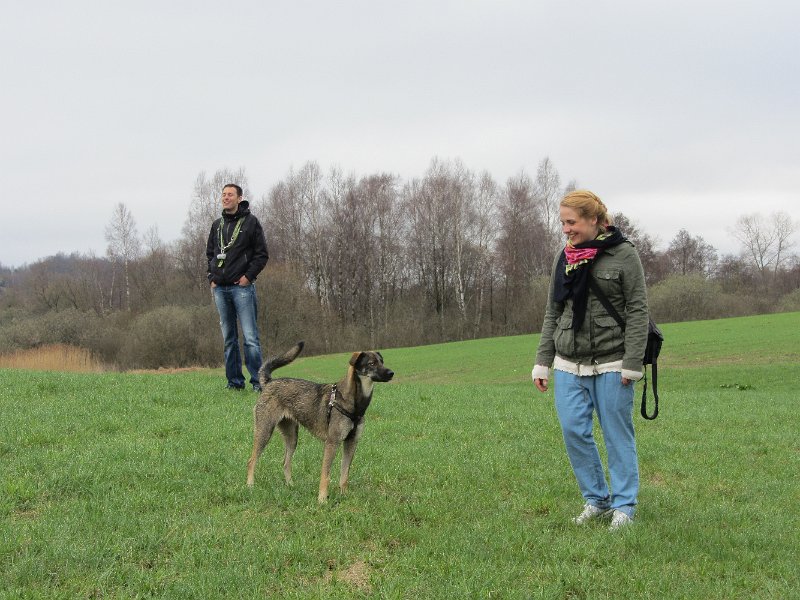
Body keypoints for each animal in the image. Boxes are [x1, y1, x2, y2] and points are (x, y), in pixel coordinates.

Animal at [246, 341, 394, 503]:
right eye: (371, 363)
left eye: (382, 361)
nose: (391, 373)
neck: (353, 402)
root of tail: (269, 383)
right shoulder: (332, 443)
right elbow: (325, 475)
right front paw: (322, 499)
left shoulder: (351, 442)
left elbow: (344, 474)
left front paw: (344, 495)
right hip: (264, 432)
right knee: (251, 460)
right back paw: (250, 486)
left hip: (292, 438)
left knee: (285, 462)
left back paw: (291, 485)